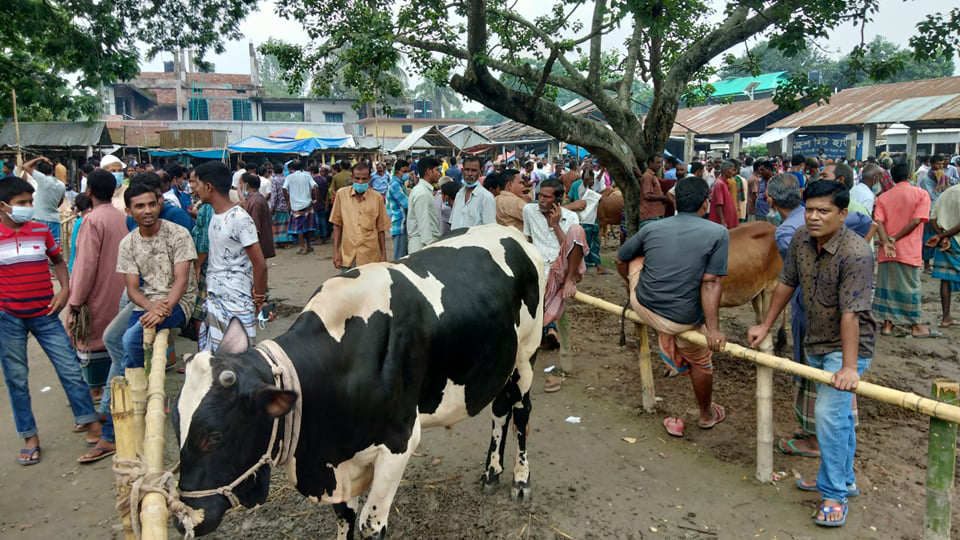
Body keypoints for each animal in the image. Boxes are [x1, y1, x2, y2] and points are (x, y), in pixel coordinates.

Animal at [175, 225, 544, 540]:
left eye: (214, 436)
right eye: (177, 425)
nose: (184, 520)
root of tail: (513, 234)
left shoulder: (399, 442)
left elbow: (370, 525)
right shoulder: (340, 463)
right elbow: (345, 517)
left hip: (526, 355)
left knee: (522, 410)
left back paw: (520, 478)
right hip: (501, 361)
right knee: (500, 409)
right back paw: (491, 472)